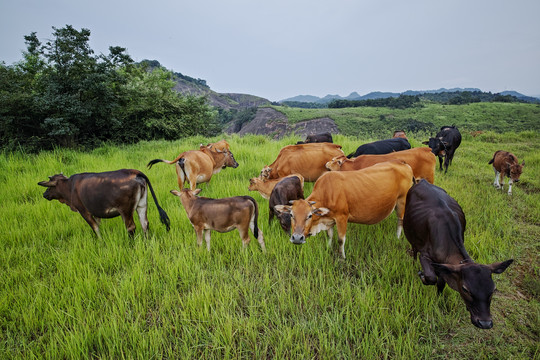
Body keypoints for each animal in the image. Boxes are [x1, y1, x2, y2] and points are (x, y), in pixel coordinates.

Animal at [37, 169, 170, 238]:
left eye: (50, 187)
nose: (44, 194)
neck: (70, 186)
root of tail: (135, 172)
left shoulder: (84, 211)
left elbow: (95, 227)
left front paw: (100, 240)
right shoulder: (96, 212)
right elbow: (98, 225)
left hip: (126, 210)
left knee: (131, 227)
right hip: (142, 205)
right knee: (144, 223)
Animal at [402, 180, 512, 330]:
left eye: (493, 290)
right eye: (465, 289)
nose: (484, 323)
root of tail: (422, 181)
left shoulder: (444, 267)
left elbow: (440, 284)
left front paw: (439, 299)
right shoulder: (425, 255)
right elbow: (431, 277)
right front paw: (422, 275)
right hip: (411, 235)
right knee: (414, 250)